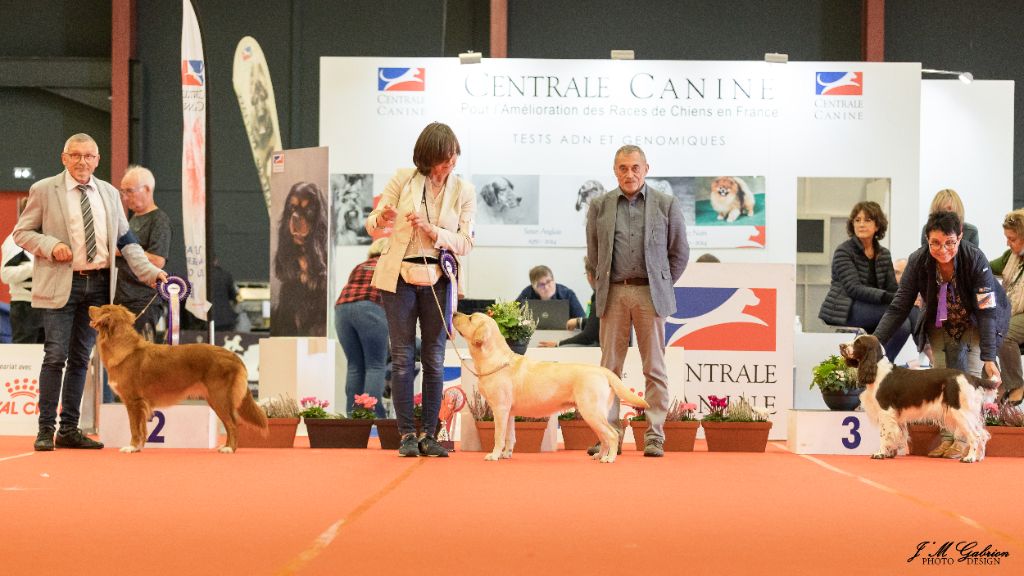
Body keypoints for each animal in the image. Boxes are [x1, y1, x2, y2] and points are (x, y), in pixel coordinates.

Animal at [450, 311, 643, 459]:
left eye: (470, 318)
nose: (454, 313)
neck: (495, 360)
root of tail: (603, 371)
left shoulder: (500, 409)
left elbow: (498, 436)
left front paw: (494, 455)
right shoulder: (509, 412)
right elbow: (510, 436)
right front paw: (506, 454)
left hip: (591, 411)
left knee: (611, 434)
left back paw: (609, 458)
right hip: (594, 414)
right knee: (604, 436)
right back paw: (599, 455)